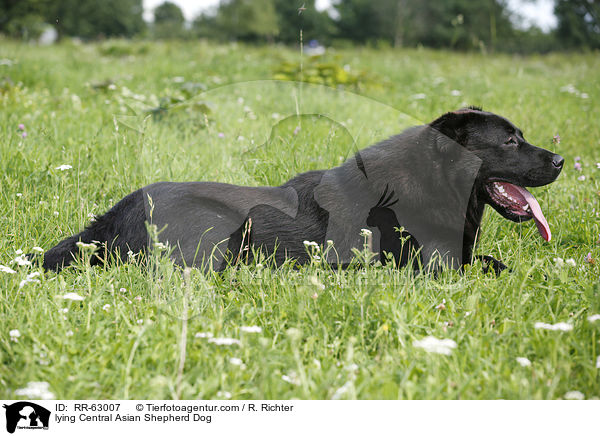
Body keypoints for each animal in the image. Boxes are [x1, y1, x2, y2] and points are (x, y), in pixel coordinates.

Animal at [41, 106, 564, 274]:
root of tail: (113, 216)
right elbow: (491, 267)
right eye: (510, 142)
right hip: (221, 232)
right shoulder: (428, 266)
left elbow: (492, 260)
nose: (561, 160)